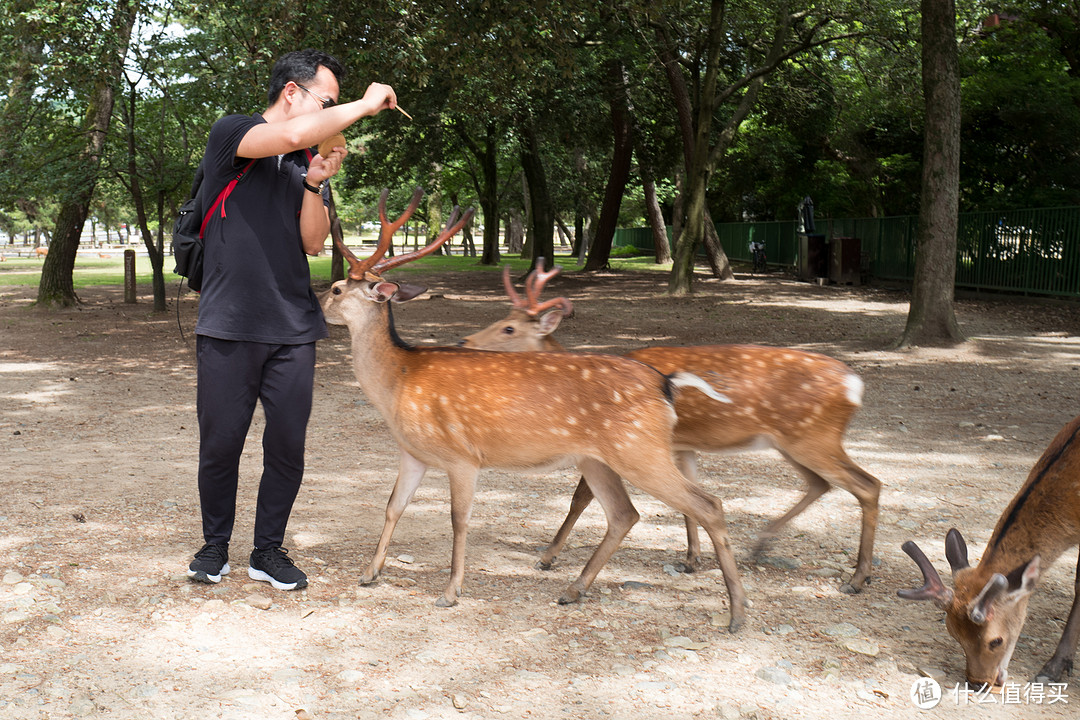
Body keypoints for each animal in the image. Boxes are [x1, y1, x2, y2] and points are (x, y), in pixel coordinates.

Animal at [317, 189, 751, 630]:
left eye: (336, 289)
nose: (316, 305)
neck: (399, 382)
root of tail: (666, 385)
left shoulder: (462, 455)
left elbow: (459, 519)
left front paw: (451, 592)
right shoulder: (413, 453)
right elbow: (393, 506)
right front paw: (369, 573)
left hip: (639, 449)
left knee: (709, 505)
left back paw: (737, 611)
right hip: (598, 458)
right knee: (624, 514)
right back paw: (573, 589)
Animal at [460, 263, 881, 591]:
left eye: (509, 328)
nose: (464, 341)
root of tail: (854, 385)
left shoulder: (616, 443)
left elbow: (581, 498)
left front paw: (547, 556)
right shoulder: (680, 445)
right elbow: (688, 503)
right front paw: (692, 559)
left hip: (812, 437)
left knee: (867, 484)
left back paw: (857, 578)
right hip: (790, 442)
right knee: (821, 483)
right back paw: (763, 546)